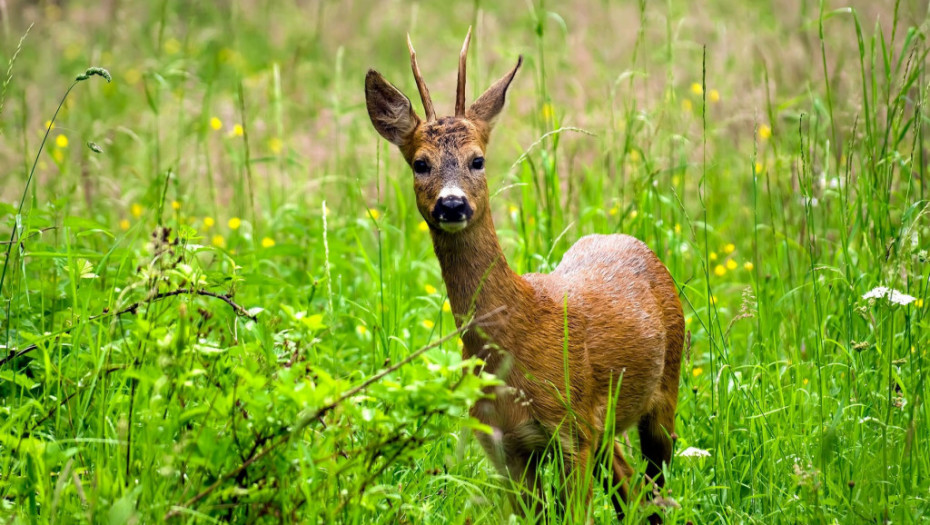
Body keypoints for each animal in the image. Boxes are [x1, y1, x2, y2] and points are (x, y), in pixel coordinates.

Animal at [362, 29, 680, 524]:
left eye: (477, 160)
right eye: (420, 163)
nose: (451, 204)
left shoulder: (572, 429)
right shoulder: (502, 445)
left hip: (666, 391)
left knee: (655, 483)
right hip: (606, 430)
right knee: (631, 488)